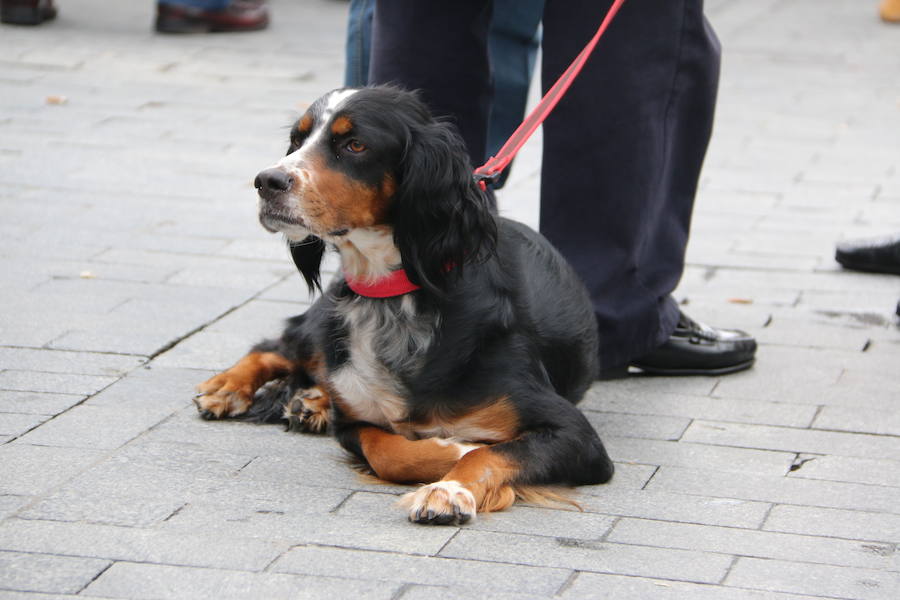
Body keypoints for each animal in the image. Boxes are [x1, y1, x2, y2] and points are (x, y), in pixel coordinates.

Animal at [192, 85, 612, 524]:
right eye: (296, 140)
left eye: (355, 144)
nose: (266, 181)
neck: (393, 294)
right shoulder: (354, 425)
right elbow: (388, 452)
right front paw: (453, 449)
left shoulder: (574, 434)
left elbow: (489, 455)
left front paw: (449, 490)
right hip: (324, 326)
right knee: (278, 345)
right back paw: (228, 387)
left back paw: (310, 401)